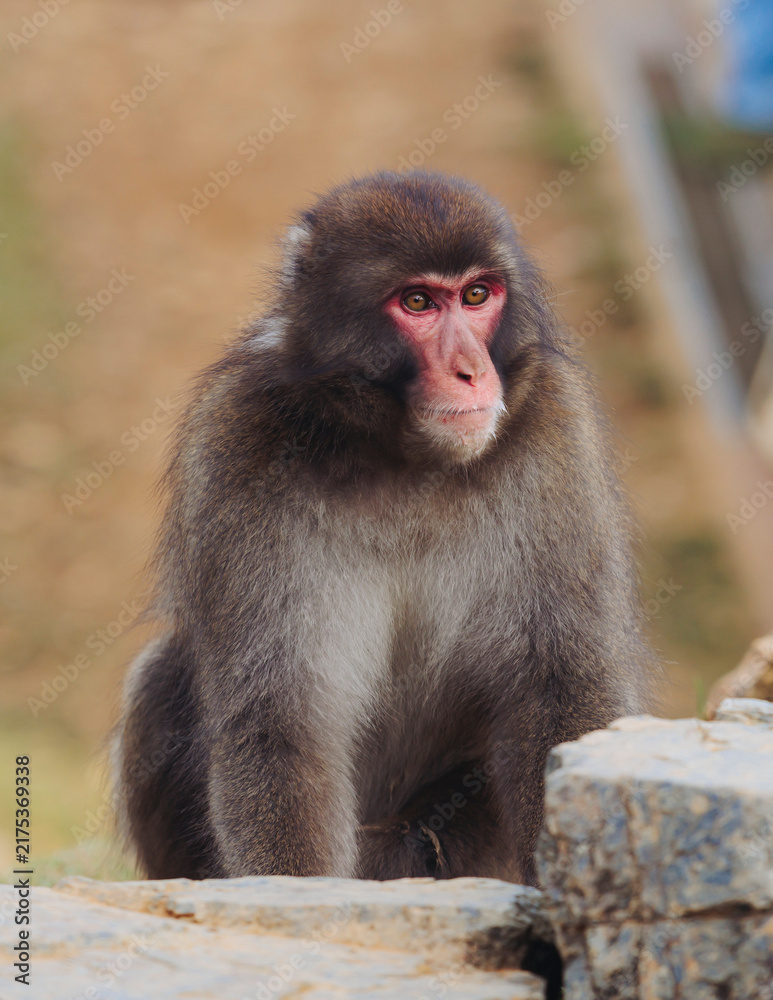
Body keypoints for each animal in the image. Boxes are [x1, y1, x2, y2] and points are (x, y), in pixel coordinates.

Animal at [113, 170, 657, 886]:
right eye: (418, 302)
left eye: (477, 294)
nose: (472, 371)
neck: (405, 456)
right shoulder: (234, 441)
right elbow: (279, 722)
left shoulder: (554, 429)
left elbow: (560, 687)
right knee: (159, 681)